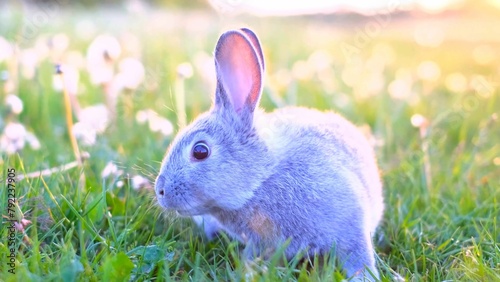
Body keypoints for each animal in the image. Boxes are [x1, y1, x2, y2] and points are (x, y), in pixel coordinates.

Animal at [154, 28, 384, 280]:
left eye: (200, 151)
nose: (160, 191)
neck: (262, 179)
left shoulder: (351, 224)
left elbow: (358, 254)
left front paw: (365, 276)